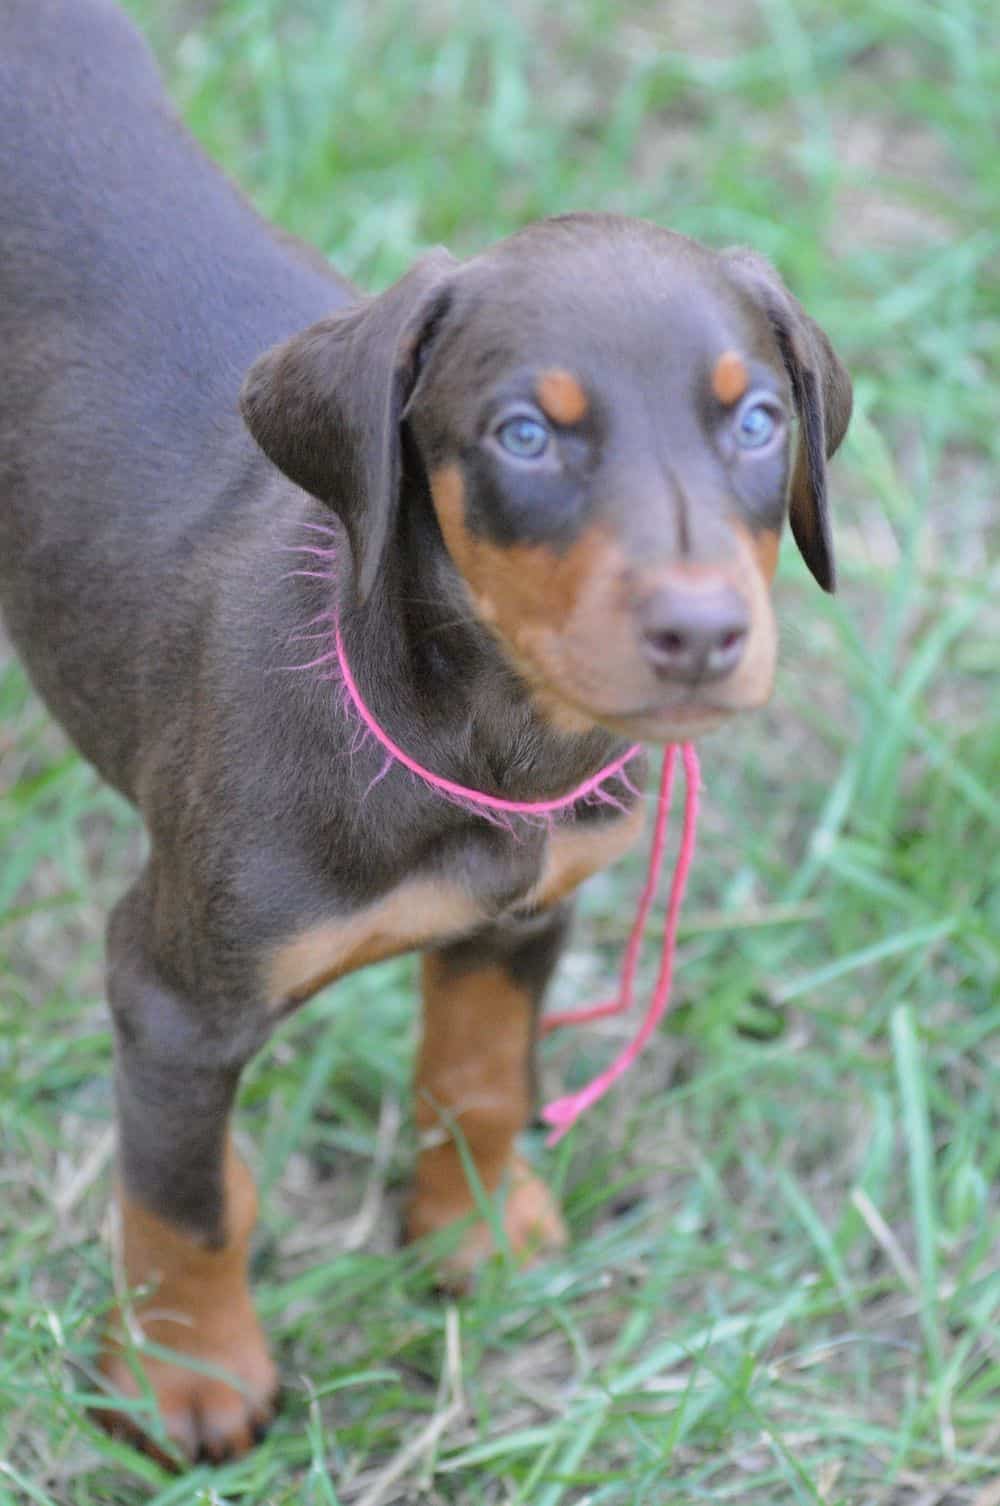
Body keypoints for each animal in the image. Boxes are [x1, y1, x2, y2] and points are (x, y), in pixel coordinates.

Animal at [0, 0, 849, 1463]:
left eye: (758, 418)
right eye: (525, 436)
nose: (701, 635)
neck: (479, 741)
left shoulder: (528, 909)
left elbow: (481, 1077)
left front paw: (474, 1232)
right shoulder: (171, 996)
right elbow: (182, 1201)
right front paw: (185, 1375)